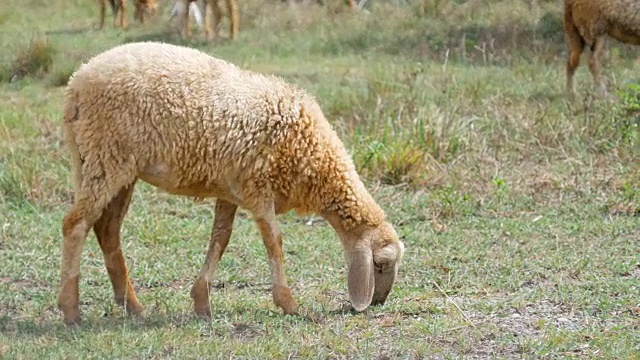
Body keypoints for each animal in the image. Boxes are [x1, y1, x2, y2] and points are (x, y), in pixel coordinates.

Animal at [56, 40, 404, 326]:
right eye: (381, 265)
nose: (379, 302)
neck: (313, 156)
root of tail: (76, 84)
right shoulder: (257, 188)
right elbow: (274, 241)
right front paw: (288, 303)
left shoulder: (230, 190)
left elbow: (220, 240)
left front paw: (201, 302)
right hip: (105, 158)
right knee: (76, 224)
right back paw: (71, 310)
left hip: (113, 167)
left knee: (107, 230)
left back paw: (133, 306)